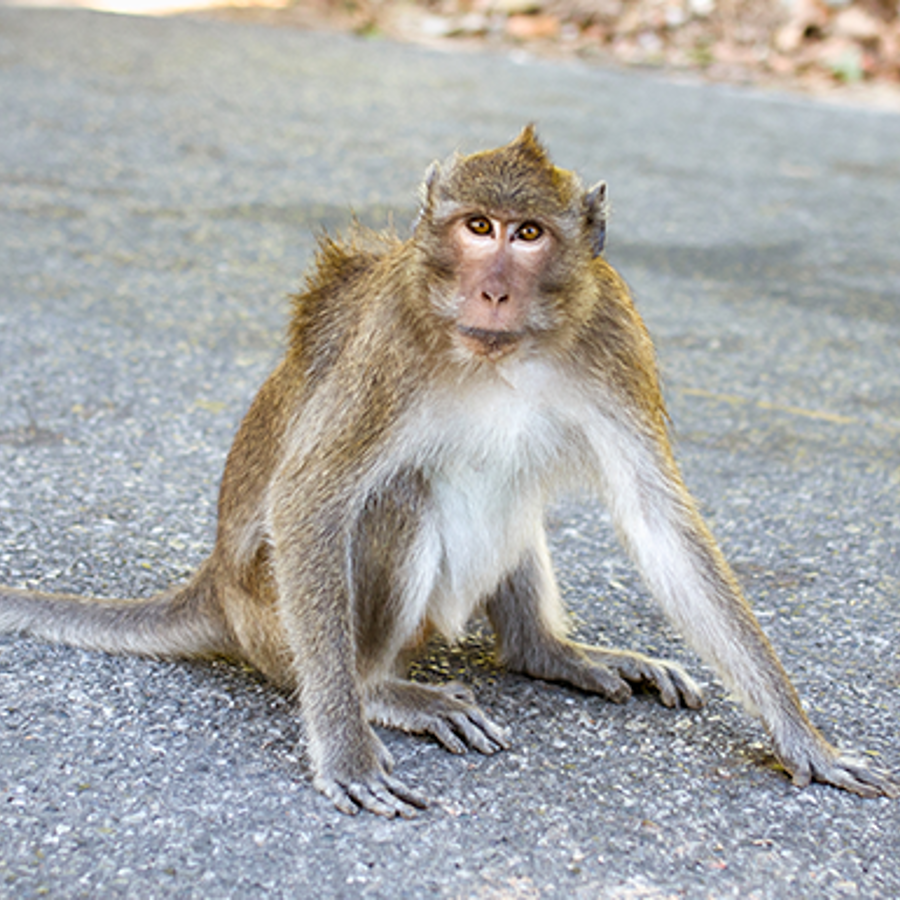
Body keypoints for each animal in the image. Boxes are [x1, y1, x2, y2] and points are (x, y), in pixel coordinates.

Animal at [1, 128, 900, 816]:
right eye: (476, 225)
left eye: (527, 234)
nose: (493, 290)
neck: (501, 352)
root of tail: (217, 582)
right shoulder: (390, 340)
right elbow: (311, 498)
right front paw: (346, 751)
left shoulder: (613, 331)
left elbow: (658, 519)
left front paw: (803, 739)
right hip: (274, 613)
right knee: (393, 496)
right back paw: (376, 692)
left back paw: (548, 652)